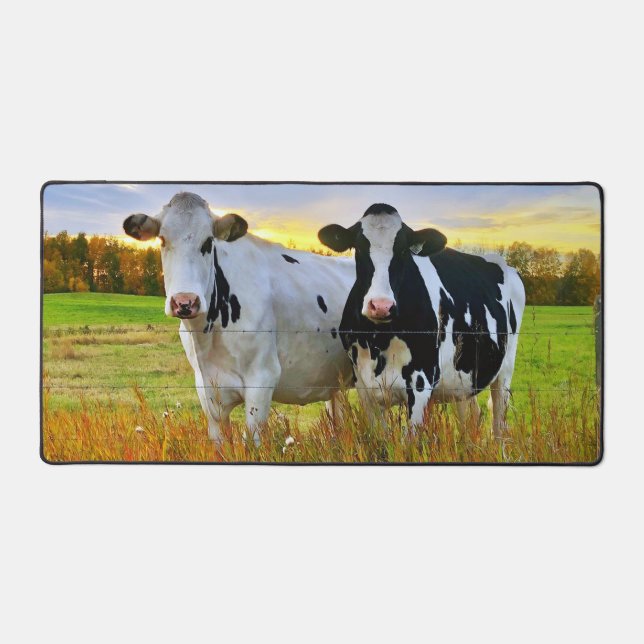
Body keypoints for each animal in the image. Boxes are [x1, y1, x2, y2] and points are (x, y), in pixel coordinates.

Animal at [123, 192, 354, 444]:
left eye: (208, 242)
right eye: (163, 240)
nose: (185, 302)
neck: (207, 338)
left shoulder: (262, 379)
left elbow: (251, 442)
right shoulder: (207, 391)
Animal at [318, 203, 525, 438]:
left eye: (402, 250)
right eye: (359, 248)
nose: (381, 305)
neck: (380, 339)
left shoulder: (420, 384)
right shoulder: (365, 385)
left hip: (505, 370)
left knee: (498, 420)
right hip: (463, 376)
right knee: (470, 415)